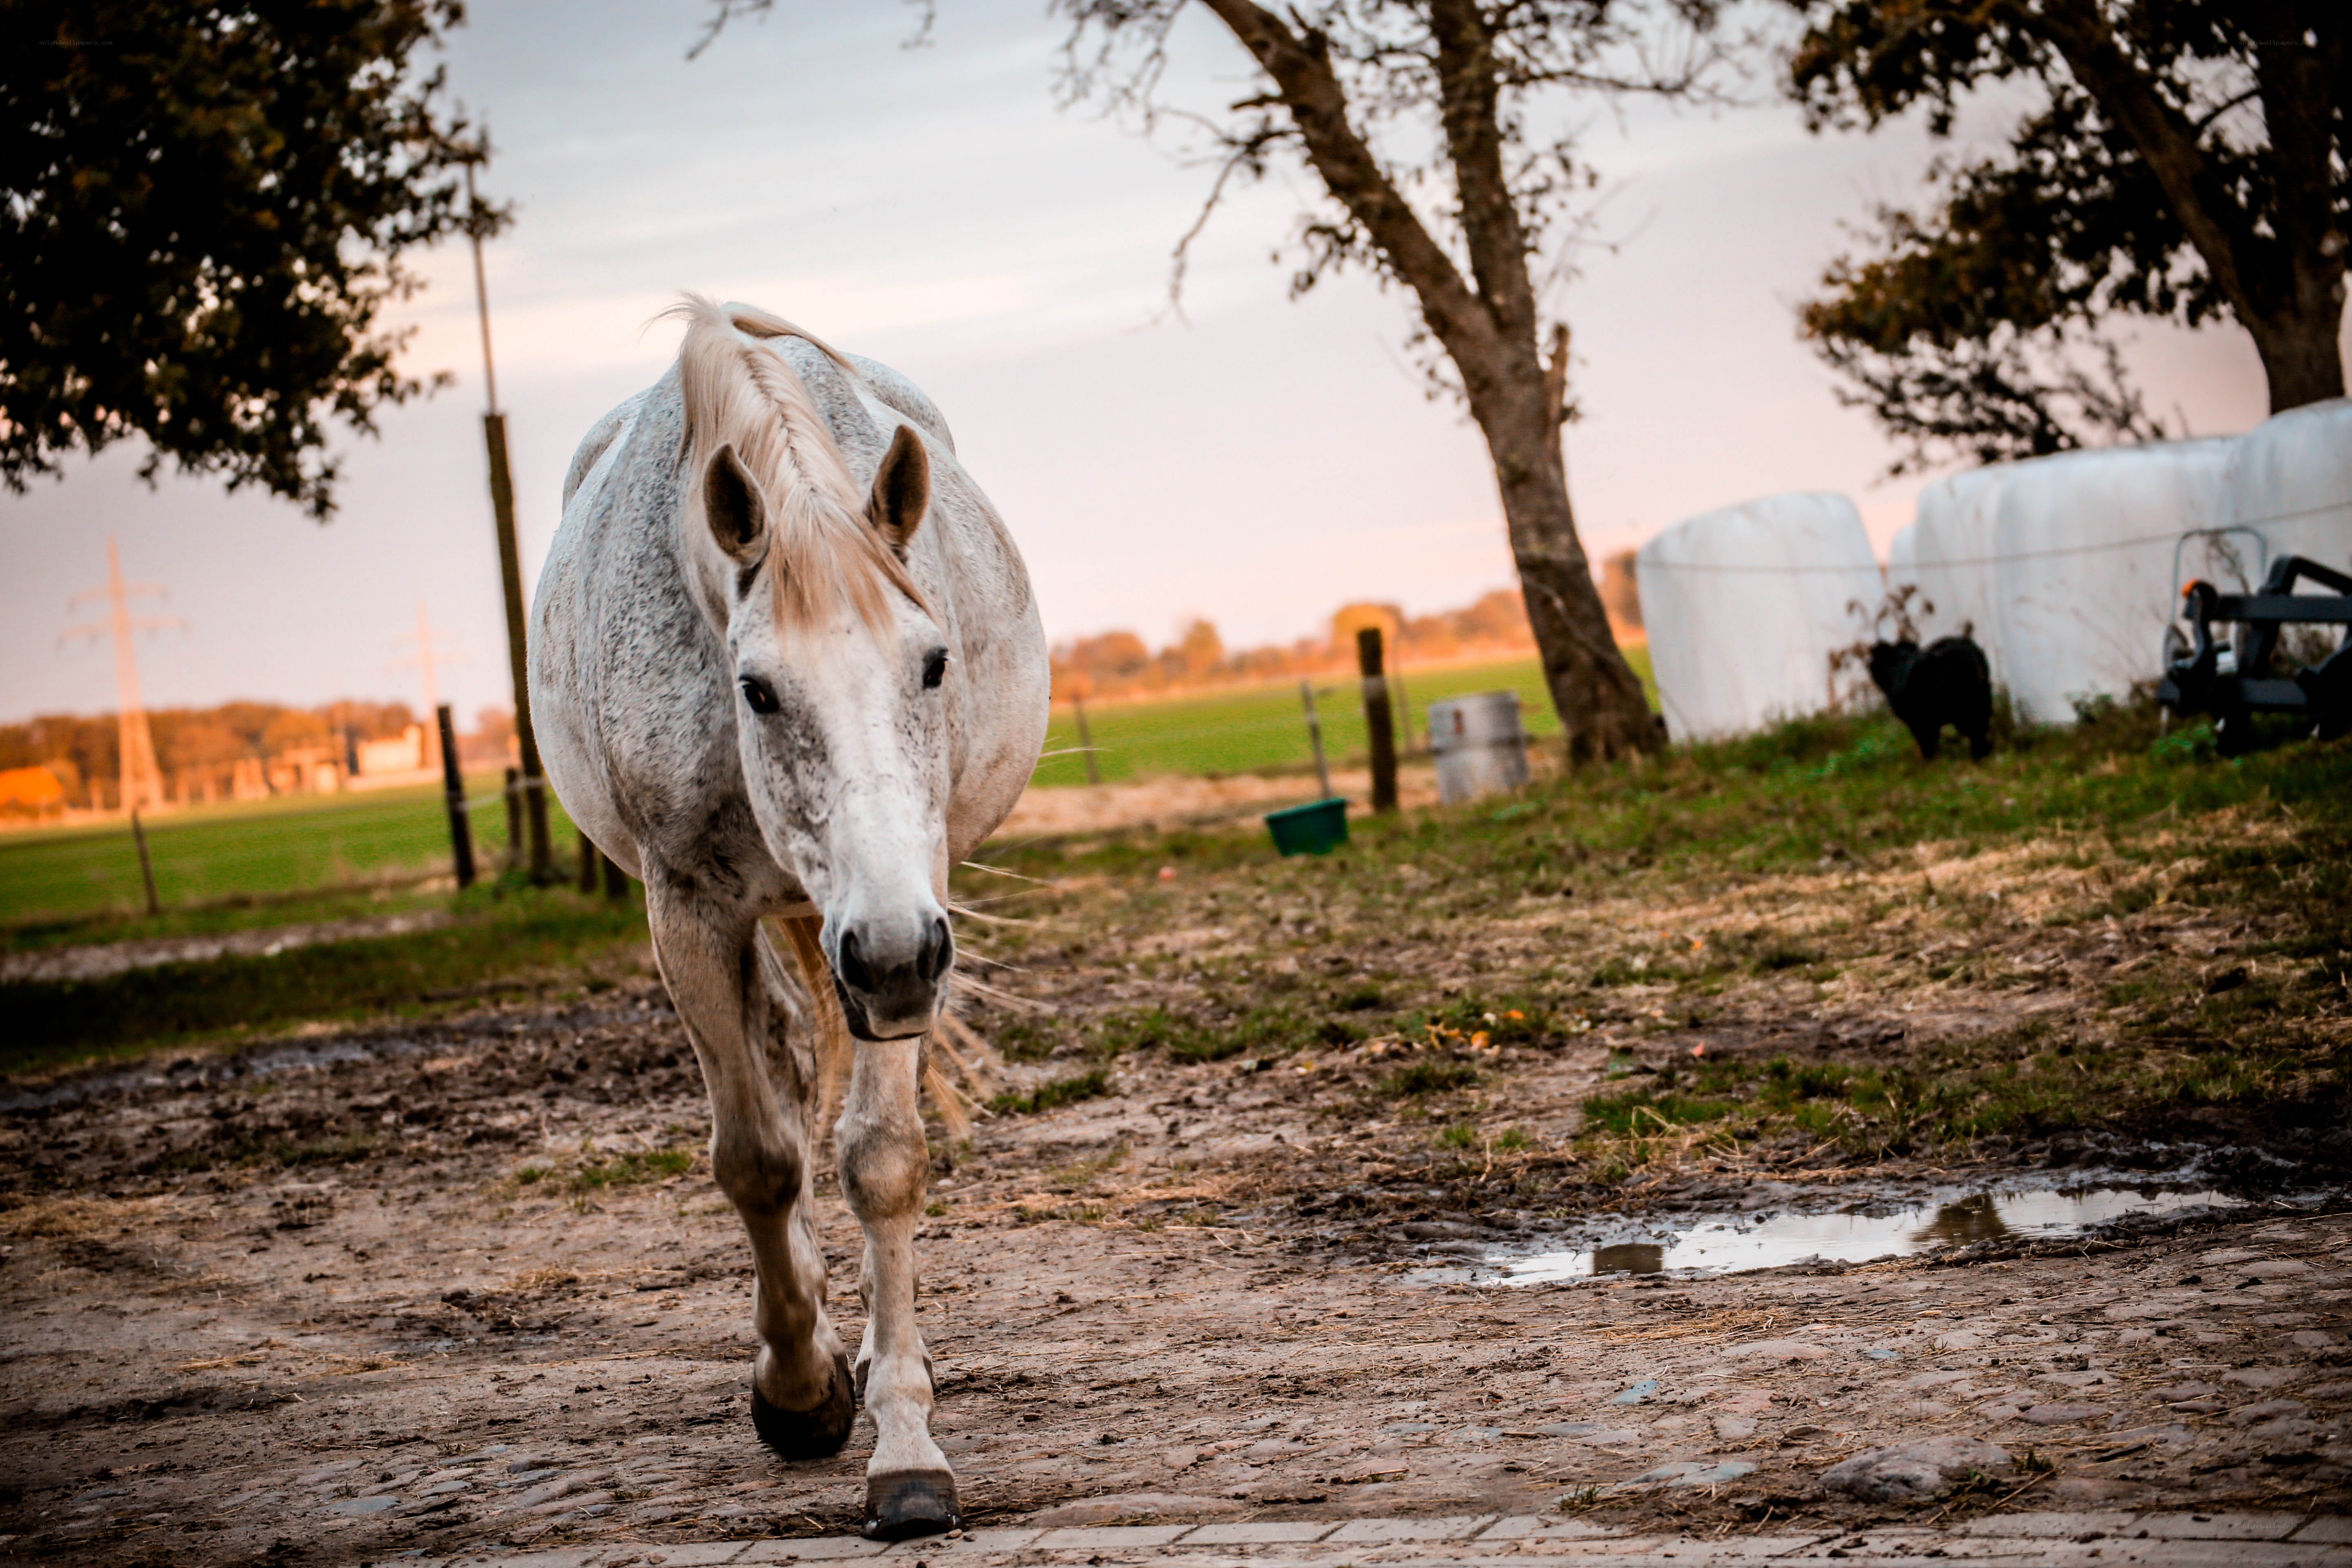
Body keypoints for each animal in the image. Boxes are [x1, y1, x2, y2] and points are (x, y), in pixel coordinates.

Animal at [528, 297, 1049, 1539]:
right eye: (756, 688)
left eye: (934, 662)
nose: (895, 956)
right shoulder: (689, 910)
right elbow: (760, 1159)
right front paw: (799, 1389)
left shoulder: (907, 915)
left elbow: (882, 1160)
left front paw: (905, 1445)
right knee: (774, 1064)